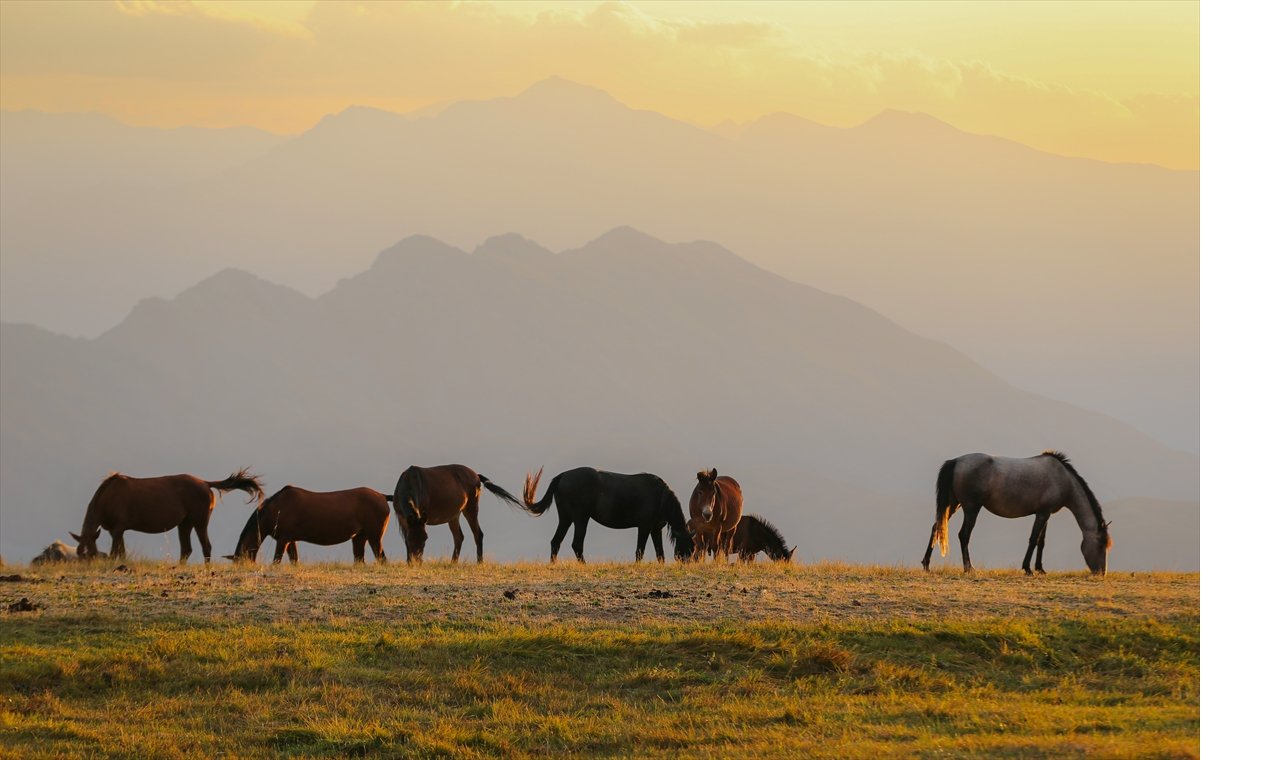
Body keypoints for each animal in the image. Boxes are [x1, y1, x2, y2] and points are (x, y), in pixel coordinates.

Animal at [70, 468, 262, 562]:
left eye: (92, 554)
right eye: (79, 554)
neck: (109, 495)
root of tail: (205, 483)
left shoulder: (117, 529)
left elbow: (116, 552)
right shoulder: (116, 531)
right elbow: (121, 551)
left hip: (200, 522)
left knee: (206, 547)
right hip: (185, 524)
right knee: (186, 549)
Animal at [225, 486, 391, 562]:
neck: (276, 509)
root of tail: (382, 496)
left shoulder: (283, 540)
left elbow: (276, 561)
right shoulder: (290, 540)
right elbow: (294, 560)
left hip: (374, 537)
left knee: (382, 559)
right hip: (359, 537)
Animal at [386, 460, 522, 562]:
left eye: (426, 538)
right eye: (411, 538)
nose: (418, 561)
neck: (409, 484)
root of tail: (477, 476)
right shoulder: (401, 517)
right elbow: (404, 539)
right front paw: (408, 561)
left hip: (471, 506)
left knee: (477, 534)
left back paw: (479, 562)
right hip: (454, 515)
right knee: (459, 536)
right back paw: (453, 562)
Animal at [519, 465, 696, 560]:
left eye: (693, 548)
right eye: (687, 547)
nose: (685, 564)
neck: (660, 497)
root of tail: (562, 476)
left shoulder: (655, 529)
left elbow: (660, 553)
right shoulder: (644, 527)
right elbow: (640, 551)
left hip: (566, 518)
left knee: (556, 542)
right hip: (580, 518)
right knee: (576, 544)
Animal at [921, 450, 1111, 573]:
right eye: (1101, 544)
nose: (1102, 573)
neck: (1062, 479)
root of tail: (955, 461)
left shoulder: (1046, 513)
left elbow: (1041, 541)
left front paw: (1040, 568)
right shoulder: (1042, 514)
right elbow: (1033, 539)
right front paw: (1027, 568)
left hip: (953, 505)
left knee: (936, 527)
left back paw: (926, 564)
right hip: (971, 508)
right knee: (964, 535)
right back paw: (969, 568)